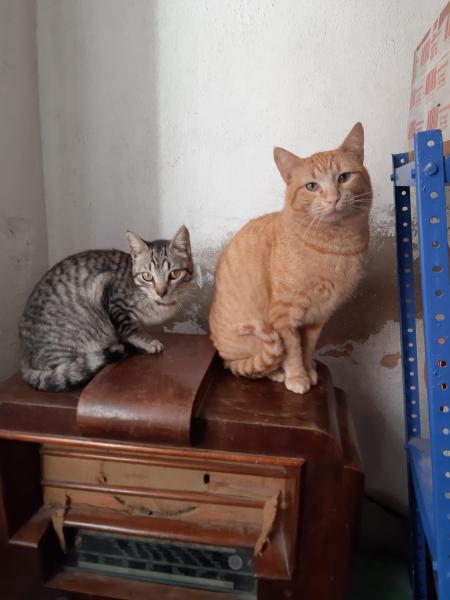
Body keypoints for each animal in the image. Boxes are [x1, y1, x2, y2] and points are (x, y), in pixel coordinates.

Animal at [19, 226, 193, 392]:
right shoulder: (112, 296)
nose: (161, 292)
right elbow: (129, 328)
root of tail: (24, 358)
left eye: (175, 274)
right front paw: (147, 342)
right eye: (147, 276)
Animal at [209, 123, 372, 394]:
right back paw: (274, 371)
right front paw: (297, 377)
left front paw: (309, 371)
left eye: (344, 177)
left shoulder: (318, 317)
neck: (337, 245)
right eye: (312, 186)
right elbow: (292, 350)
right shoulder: (284, 315)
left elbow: (307, 348)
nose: (333, 198)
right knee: (244, 365)